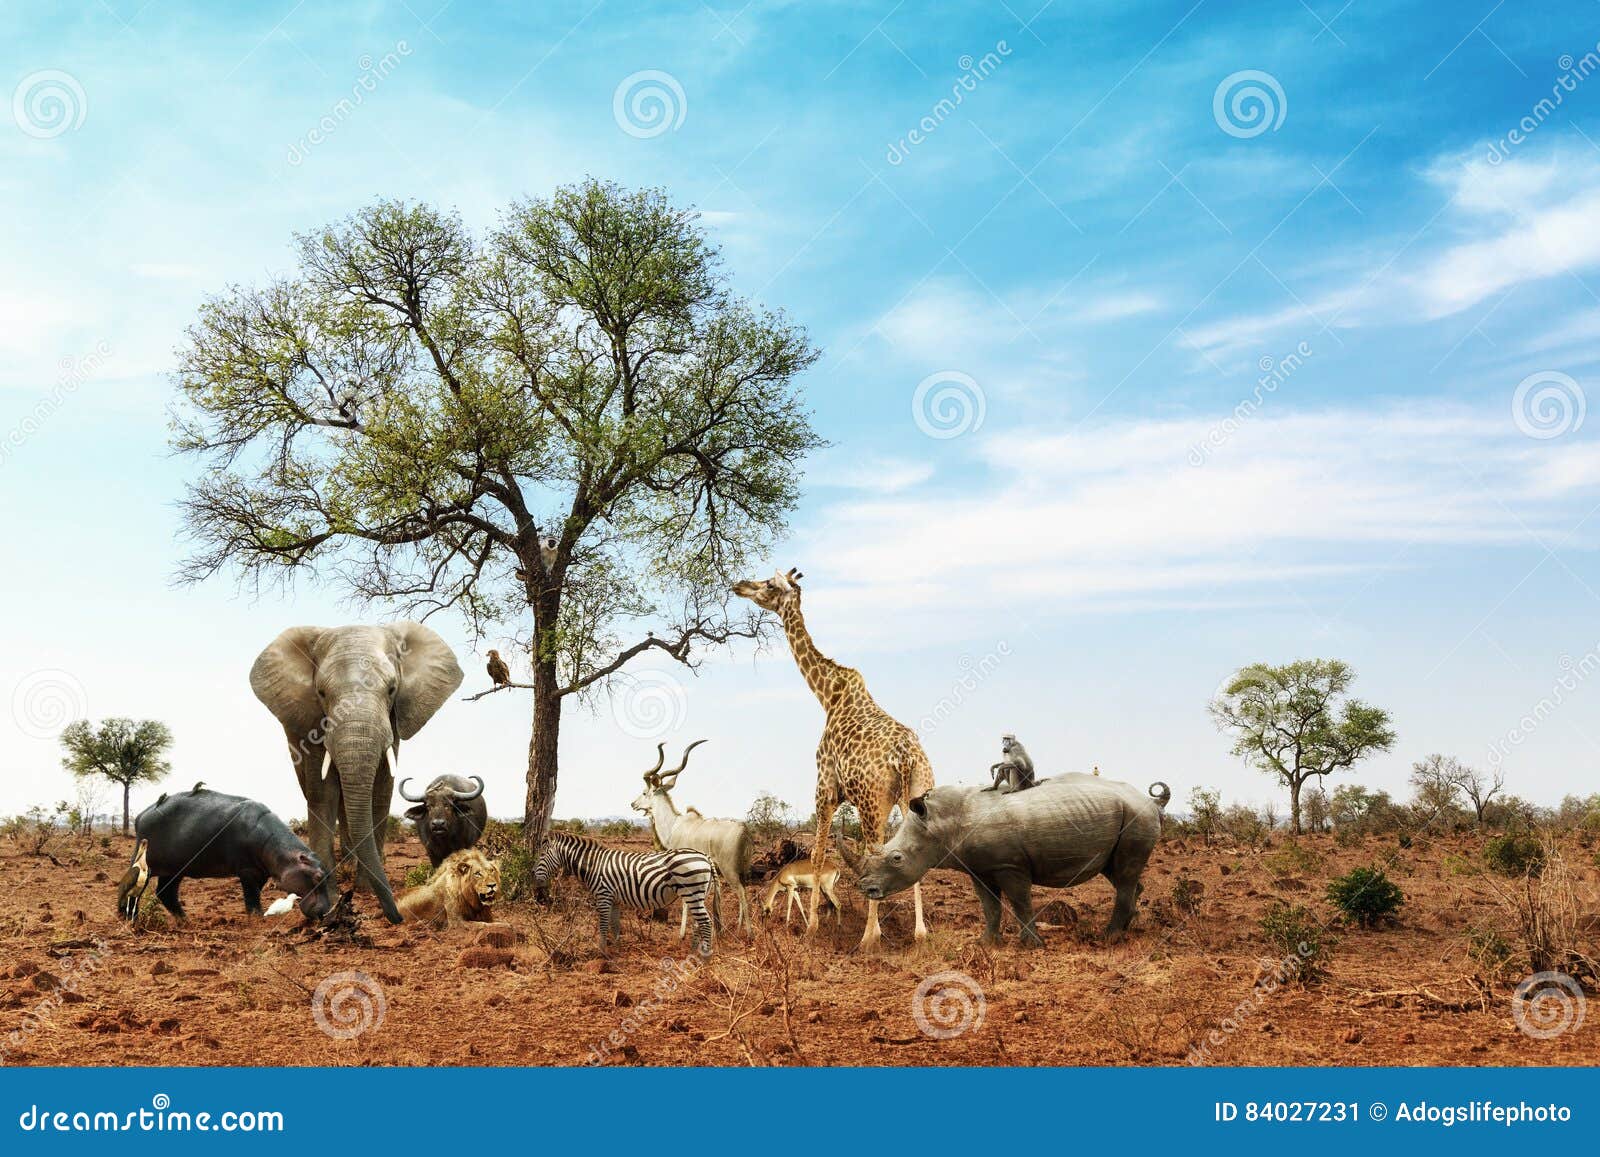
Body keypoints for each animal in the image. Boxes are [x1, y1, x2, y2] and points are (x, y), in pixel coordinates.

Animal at [249, 624, 464, 921]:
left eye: (392, 689)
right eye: (321, 693)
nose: (397, 916)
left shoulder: (393, 722)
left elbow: (381, 789)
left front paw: (365, 888)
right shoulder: (314, 721)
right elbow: (323, 792)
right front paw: (329, 897)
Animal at [534, 832, 723, 960]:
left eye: (542, 855)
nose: (532, 874)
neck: (594, 865)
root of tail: (705, 856)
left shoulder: (603, 895)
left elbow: (603, 925)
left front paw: (602, 952)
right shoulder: (614, 900)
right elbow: (615, 925)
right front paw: (617, 950)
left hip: (692, 892)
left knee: (706, 922)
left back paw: (704, 957)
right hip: (697, 895)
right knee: (699, 923)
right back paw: (693, 952)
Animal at [732, 566, 934, 947]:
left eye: (769, 584)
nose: (740, 585)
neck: (828, 696)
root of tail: (905, 757)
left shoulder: (824, 788)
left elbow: (815, 854)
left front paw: (811, 928)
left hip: (872, 804)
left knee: (876, 853)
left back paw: (869, 938)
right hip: (915, 794)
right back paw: (920, 932)